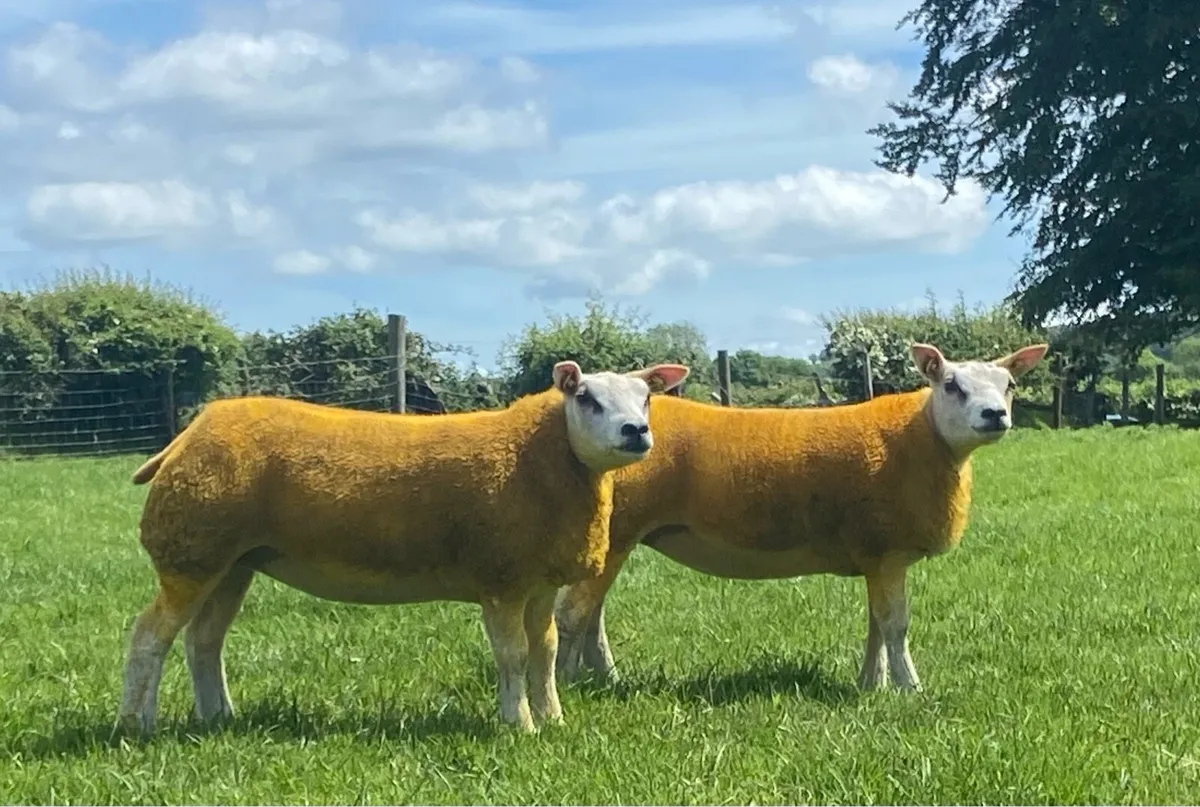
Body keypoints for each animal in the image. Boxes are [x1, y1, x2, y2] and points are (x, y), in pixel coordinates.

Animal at [115, 359, 690, 736]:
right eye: (585, 398)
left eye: (646, 398)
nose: (636, 431)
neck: (542, 457)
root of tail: (191, 432)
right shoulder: (501, 576)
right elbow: (512, 654)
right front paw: (519, 726)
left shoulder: (540, 579)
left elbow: (545, 650)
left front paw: (553, 718)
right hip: (192, 549)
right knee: (150, 637)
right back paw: (136, 725)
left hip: (233, 560)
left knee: (203, 641)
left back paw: (218, 717)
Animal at [554, 342, 1048, 693]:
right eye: (951, 386)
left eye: (1009, 385)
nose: (995, 415)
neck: (923, 441)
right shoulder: (887, 549)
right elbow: (895, 625)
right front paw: (910, 690)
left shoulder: (874, 554)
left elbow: (876, 624)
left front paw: (872, 686)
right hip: (616, 532)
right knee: (573, 613)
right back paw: (566, 685)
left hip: (615, 537)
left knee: (591, 613)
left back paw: (602, 679)